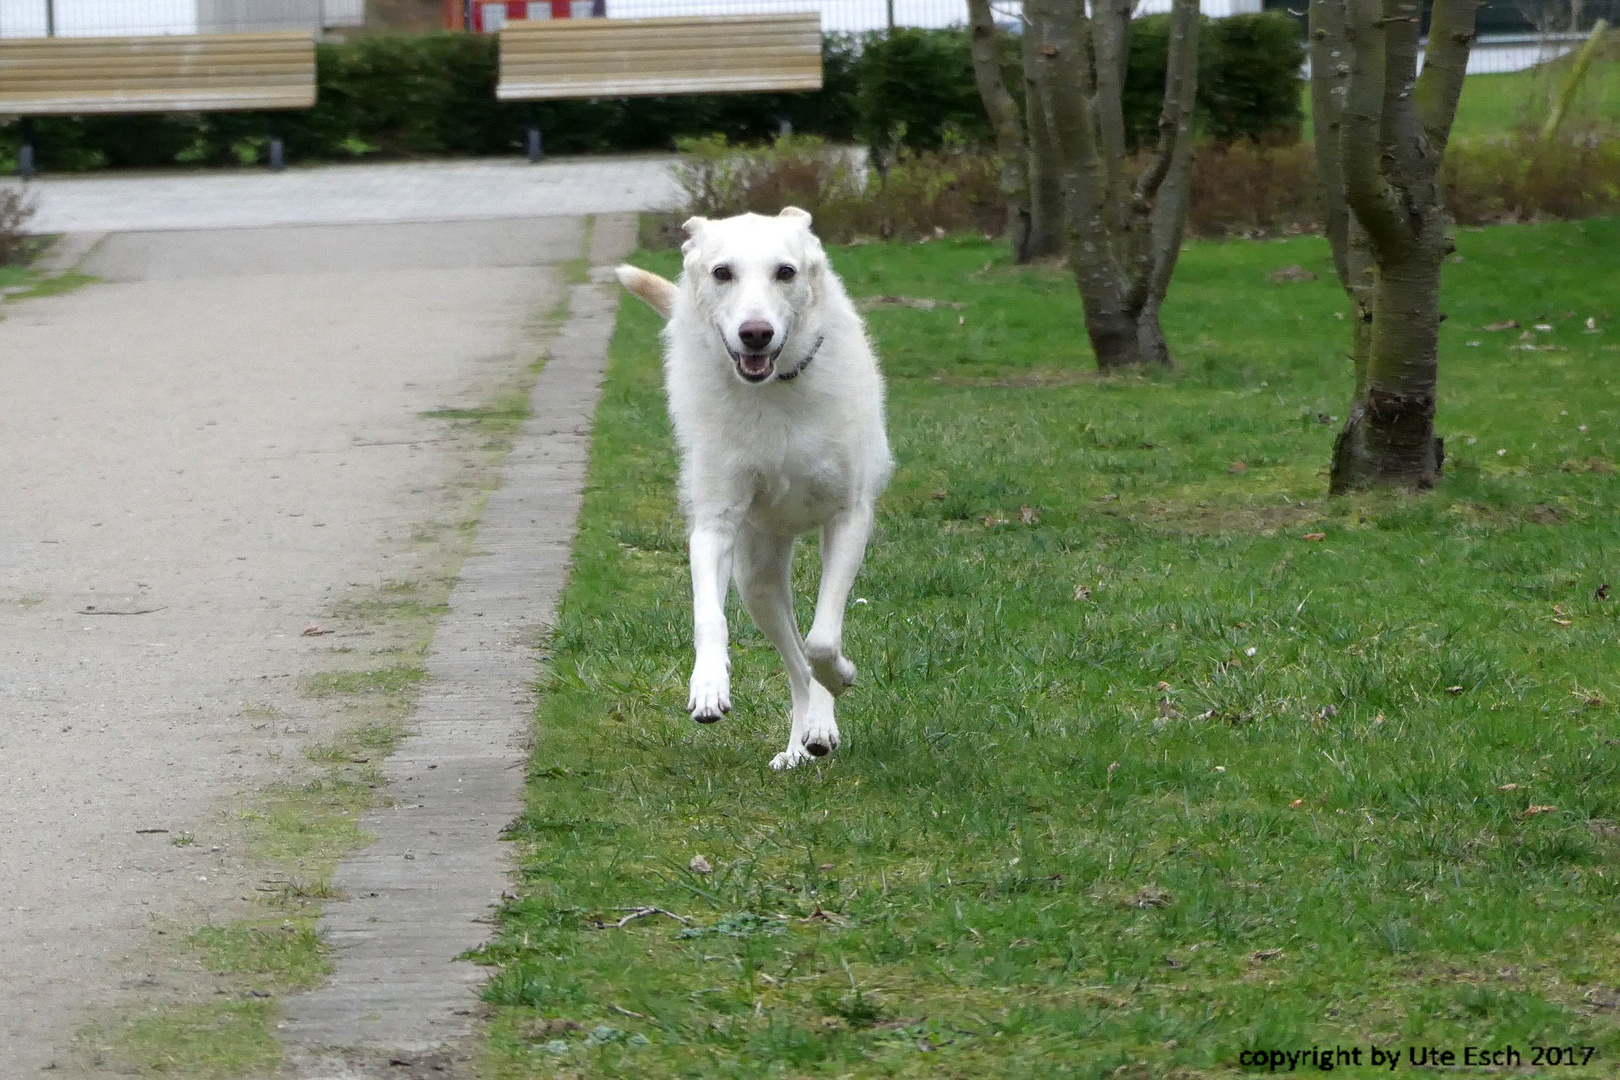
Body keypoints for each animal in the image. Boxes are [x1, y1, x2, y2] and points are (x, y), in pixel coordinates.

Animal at [612, 208, 894, 767]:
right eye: (722, 273)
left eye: (786, 272)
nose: (756, 334)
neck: (775, 389)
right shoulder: (714, 523)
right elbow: (709, 616)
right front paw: (708, 685)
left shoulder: (848, 517)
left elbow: (824, 639)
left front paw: (843, 677)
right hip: (756, 578)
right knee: (794, 662)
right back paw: (801, 742)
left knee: (808, 650)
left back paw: (819, 726)